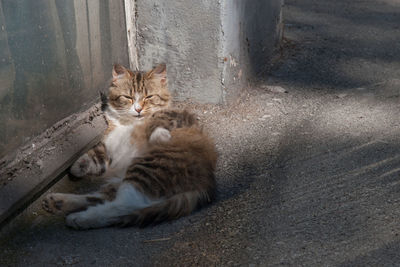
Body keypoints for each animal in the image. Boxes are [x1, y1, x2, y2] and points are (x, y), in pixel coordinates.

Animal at [41, 63, 217, 230]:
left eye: (149, 97)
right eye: (128, 97)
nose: (138, 109)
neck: (130, 123)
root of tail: (205, 183)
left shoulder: (180, 117)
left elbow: (156, 121)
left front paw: (159, 135)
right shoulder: (111, 141)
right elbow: (96, 154)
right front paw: (78, 166)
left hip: (145, 168)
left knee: (122, 207)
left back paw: (79, 218)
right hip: (125, 180)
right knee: (102, 199)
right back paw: (58, 202)